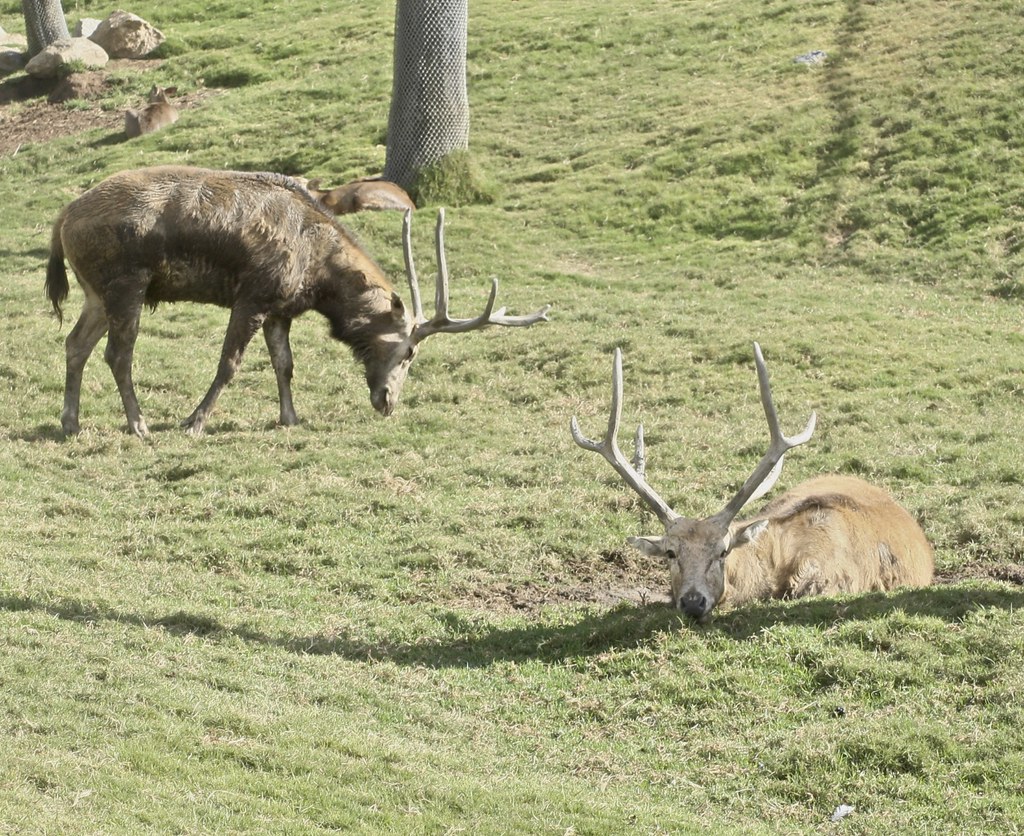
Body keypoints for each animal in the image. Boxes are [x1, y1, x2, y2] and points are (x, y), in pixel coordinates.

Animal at [45, 166, 550, 438]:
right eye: (409, 352)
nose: (387, 402)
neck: (319, 277)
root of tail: (60, 218)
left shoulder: (280, 308)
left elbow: (284, 364)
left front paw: (289, 417)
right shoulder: (252, 294)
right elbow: (229, 364)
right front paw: (194, 422)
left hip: (94, 292)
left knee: (75, 344)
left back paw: (71, 422)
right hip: (126, 282)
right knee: (118, 353)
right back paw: (139, 424)